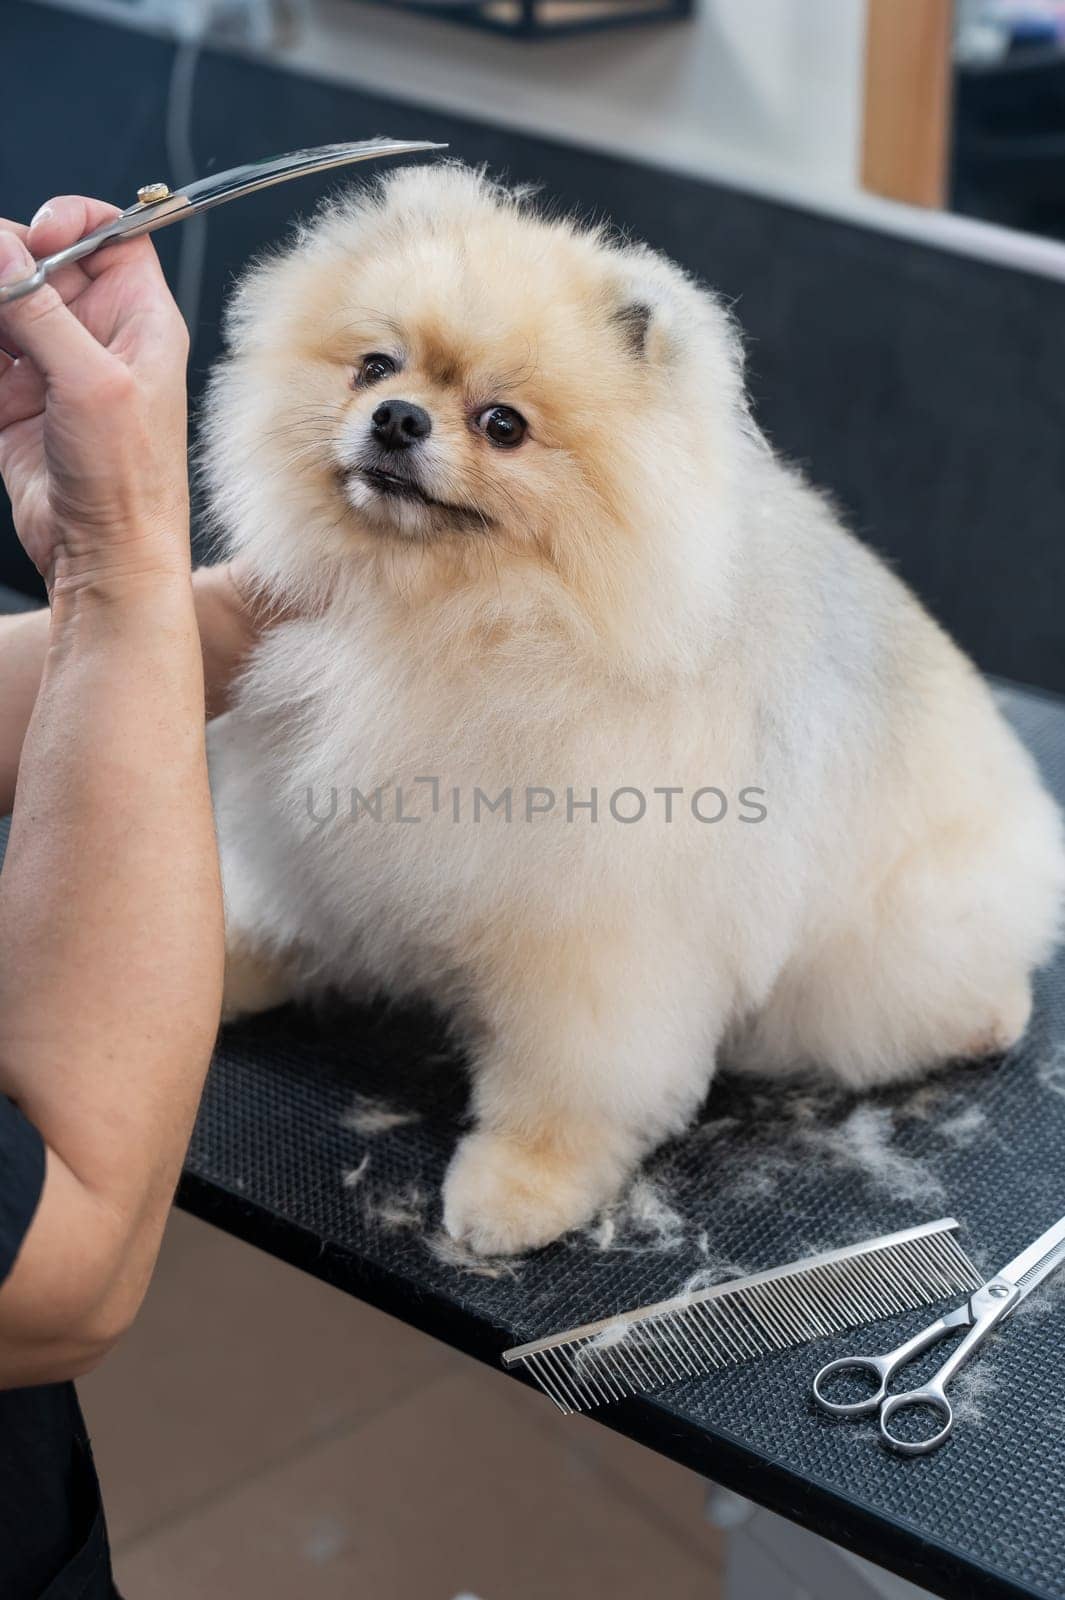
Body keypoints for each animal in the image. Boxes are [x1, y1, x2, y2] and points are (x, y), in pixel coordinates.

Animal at [204, 168, 1061, 1254]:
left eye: (503, 424)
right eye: (374, 365)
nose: (396, 418)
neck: (460, 619)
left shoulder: (598, 931)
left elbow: (572, 1078)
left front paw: (518, 1188)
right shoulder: (321, 832)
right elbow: (285, 915)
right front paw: (213, 976)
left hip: (889, 946)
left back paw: (992, 1012)